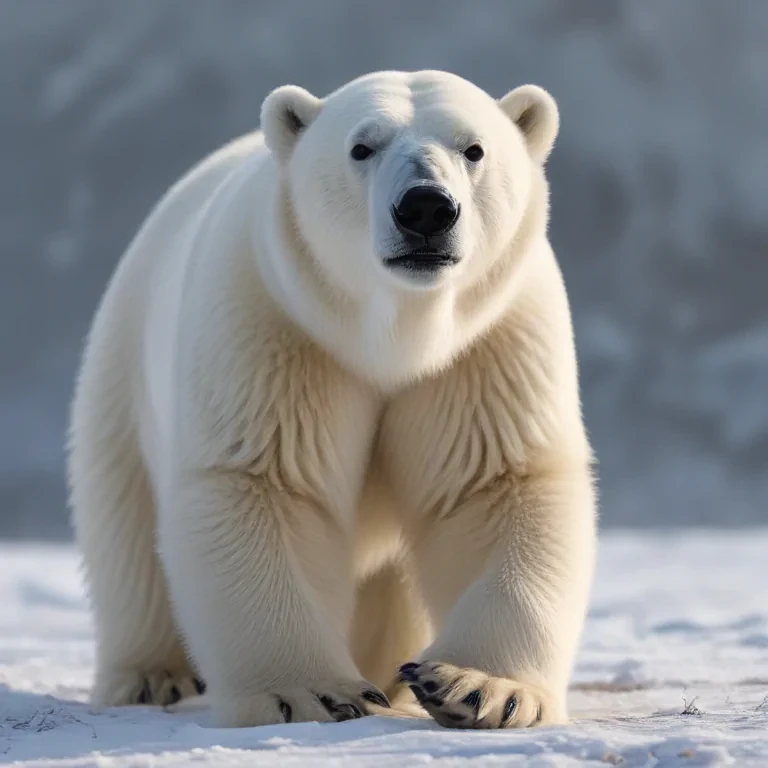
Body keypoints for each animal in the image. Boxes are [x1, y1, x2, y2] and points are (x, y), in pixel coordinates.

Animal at [68, 69, 597, 730]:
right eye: (361, 147)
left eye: (473, 149)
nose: (426, 207)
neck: (394, 336)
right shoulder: (276, 322)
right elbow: (267, 483)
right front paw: (310, 693)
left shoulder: (488, 344)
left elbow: (497, 484)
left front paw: (477, 687)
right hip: (124, 369)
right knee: (127, 538)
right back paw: (150, 676)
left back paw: (391, 672)